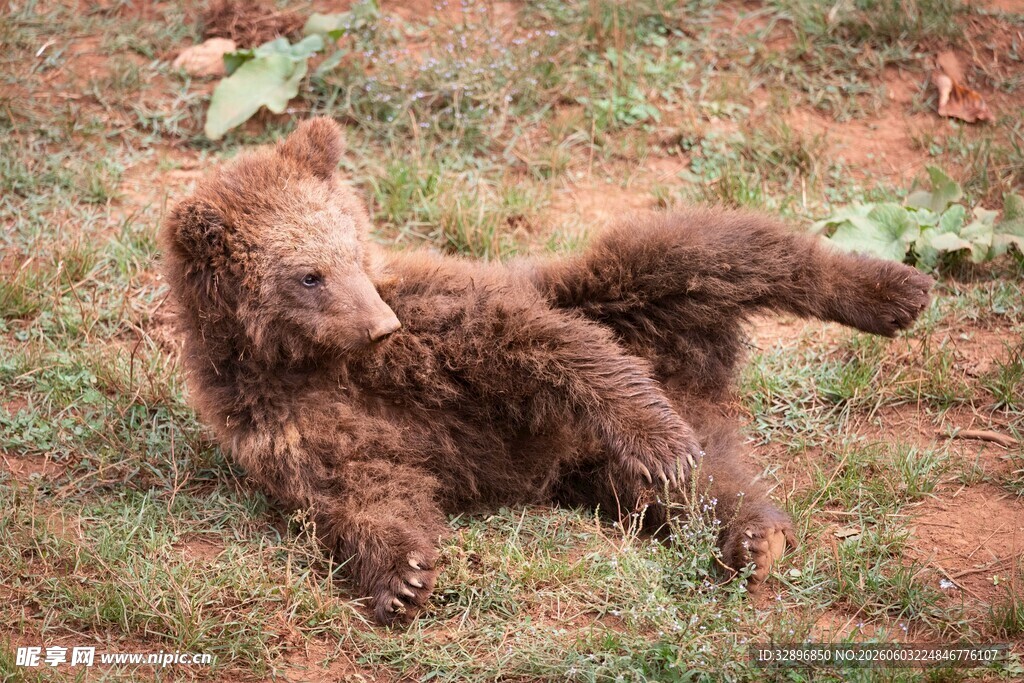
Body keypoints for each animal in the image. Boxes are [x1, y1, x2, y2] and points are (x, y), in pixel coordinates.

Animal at [160, 118, 934, 625]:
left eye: (350, 244)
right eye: (309, 274)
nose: (379, 323)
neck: (311, 360)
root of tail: (699, 376)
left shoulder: (444, 322)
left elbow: (541, 345)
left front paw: (655, 435)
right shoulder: (285, 419)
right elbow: (363, 489)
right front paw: (402, 577)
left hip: (623, 292)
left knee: (714, 249)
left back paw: (893, 291)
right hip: (605, 464)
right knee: (710, 478)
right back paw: (750, 536)